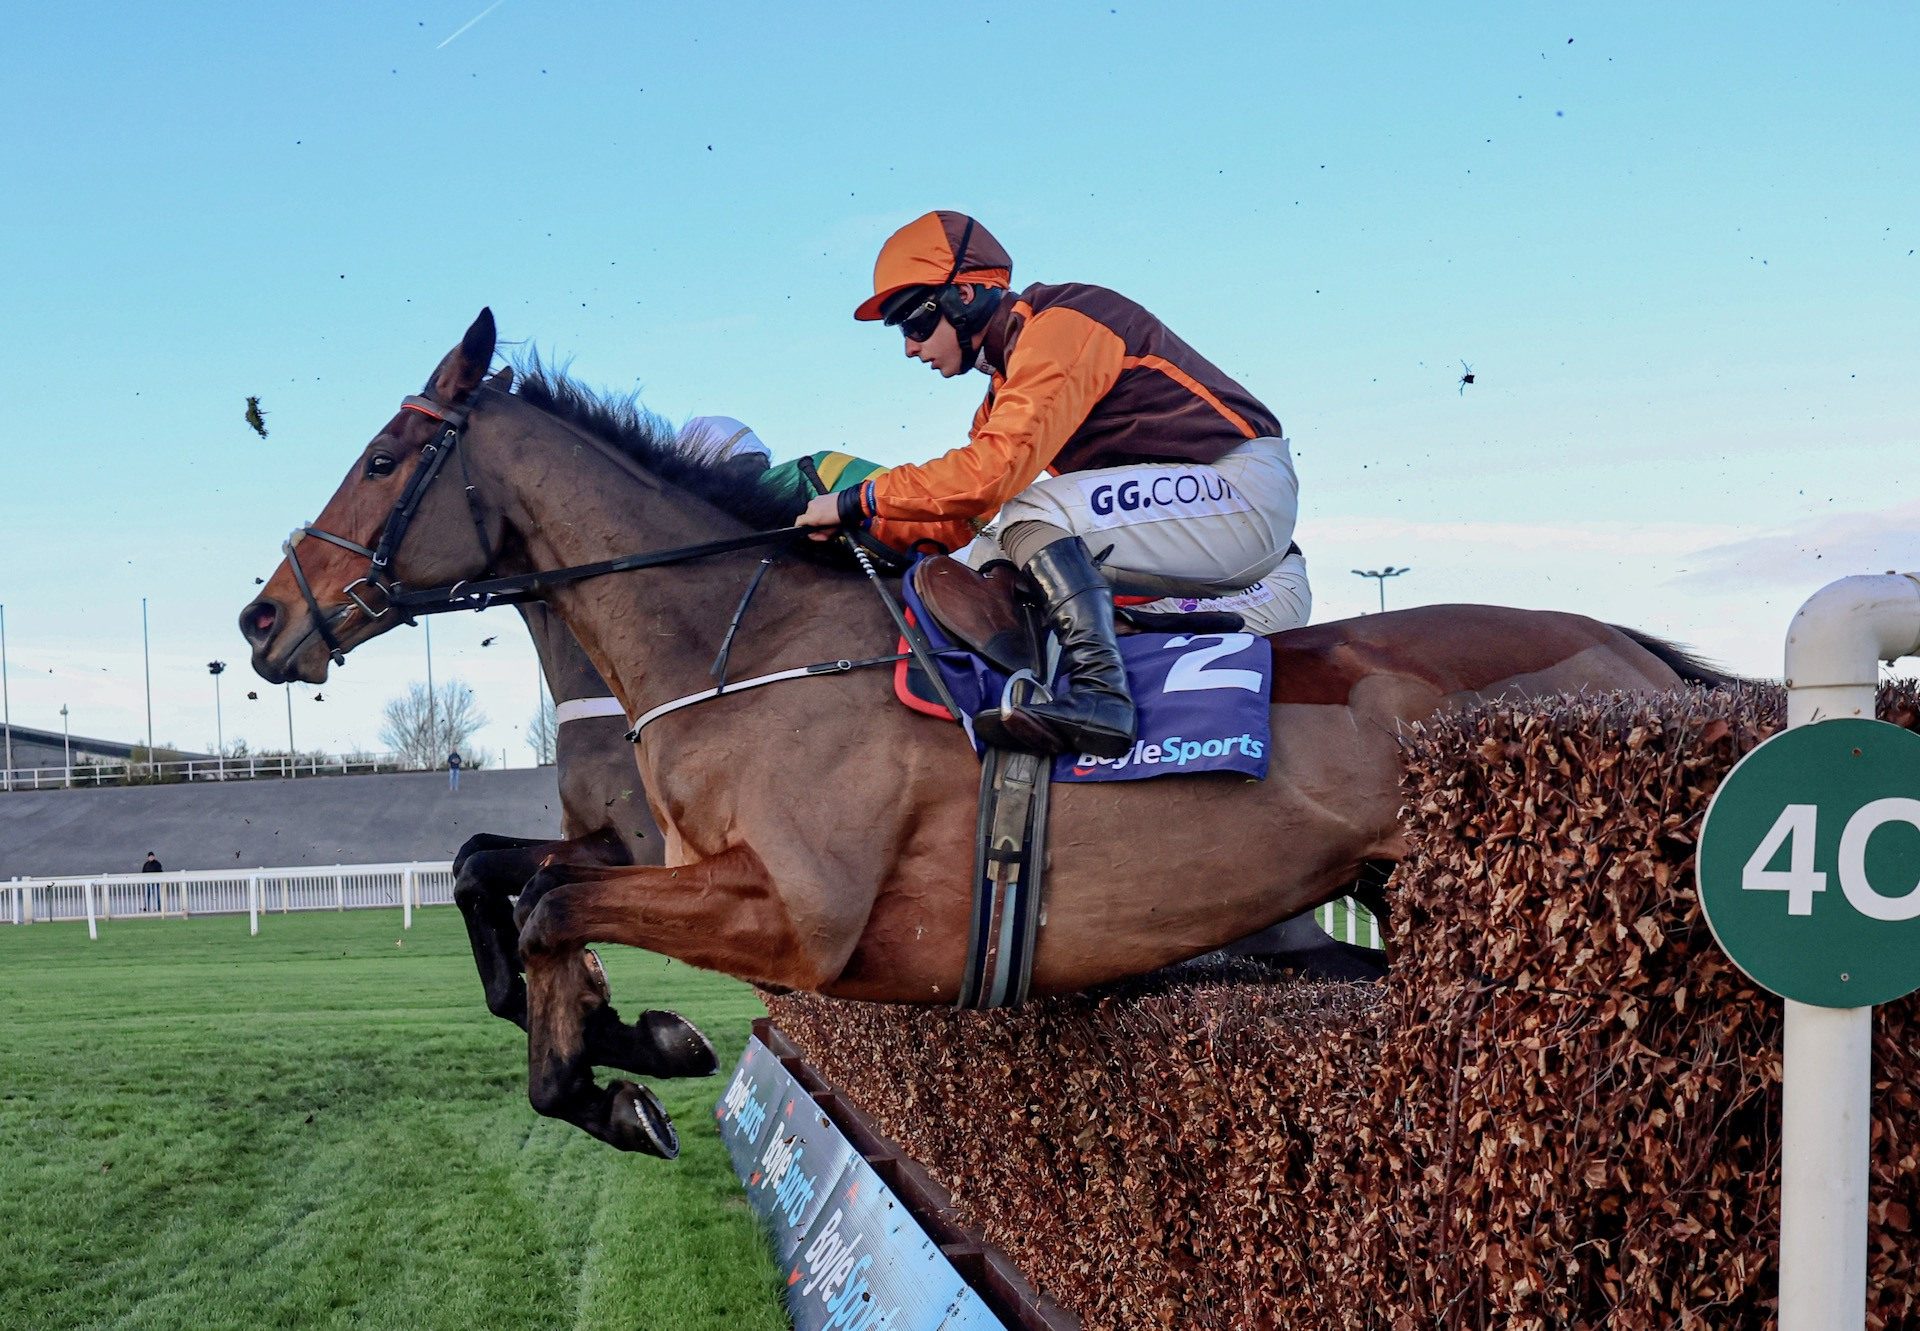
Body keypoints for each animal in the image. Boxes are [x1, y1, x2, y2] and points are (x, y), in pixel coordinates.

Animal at [240, 311, 1728, 1152]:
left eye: (383, 457)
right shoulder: (678, 857)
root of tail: (1632, 651)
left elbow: (546, 899)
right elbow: (494, 870)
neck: (747, 642)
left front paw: (613, 1071)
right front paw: (622, 1041)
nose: (263, 619)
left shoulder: (801, 915)